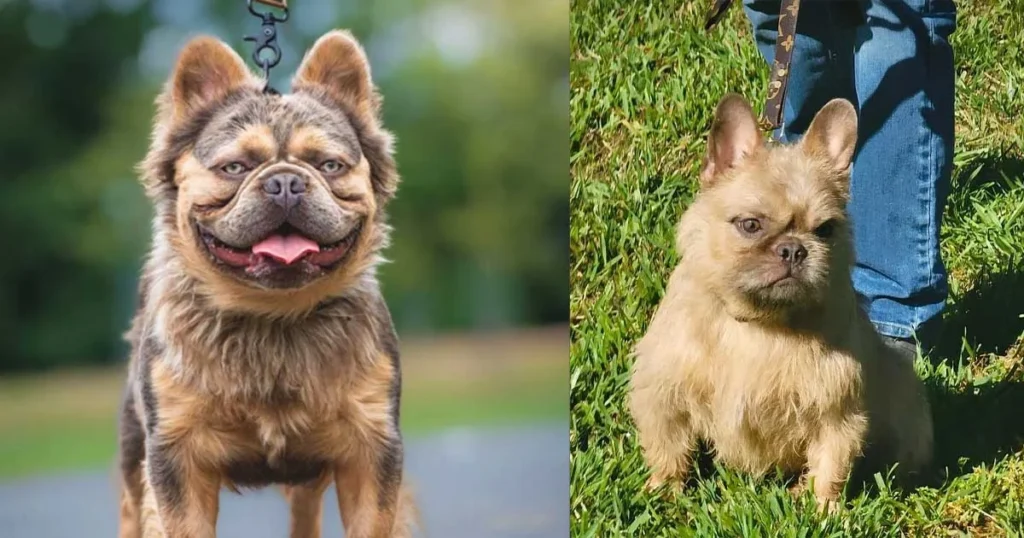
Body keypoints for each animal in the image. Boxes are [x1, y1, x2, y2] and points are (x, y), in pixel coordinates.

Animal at [626, 93, 933, 508]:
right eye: (750, 225)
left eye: (826, 230)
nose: (793, 249)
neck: (759, 321)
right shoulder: (663, 393)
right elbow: (667, 445)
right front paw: (664, 491)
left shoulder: (837, 411)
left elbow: (831, 464)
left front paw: (824, 509)